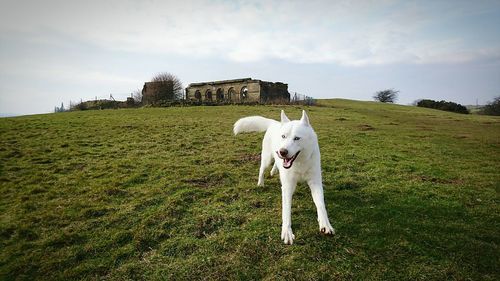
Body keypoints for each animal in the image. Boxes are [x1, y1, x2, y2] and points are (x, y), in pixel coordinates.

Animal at [233, 109, 334, 243]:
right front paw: (287, 231)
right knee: (261, 169)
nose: (283, 152)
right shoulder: (287, 186)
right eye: (283, 136)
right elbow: (286, 211)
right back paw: (261, 183)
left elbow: (321, 204)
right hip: (267, 159)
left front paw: (325, 224)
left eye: (297, 138)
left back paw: (274, 170)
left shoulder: (315, 183)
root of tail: (274, 123)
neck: (299, 162)